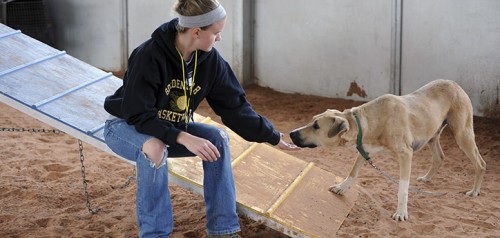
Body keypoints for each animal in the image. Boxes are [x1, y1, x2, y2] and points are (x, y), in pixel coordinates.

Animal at [290, 79, 484, 221]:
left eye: (316, 126)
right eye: (312, 120)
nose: (291, 133)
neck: (367, 123)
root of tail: (455, 84)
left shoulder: (406, 155)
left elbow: (403, 188)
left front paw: (401, 212)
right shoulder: (364, 150)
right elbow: (353, 173)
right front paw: (341, 187)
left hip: (463, 134)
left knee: (480, 163)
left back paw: (475, 191)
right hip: (432, 136)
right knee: (440, 157)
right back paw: (427, 178)